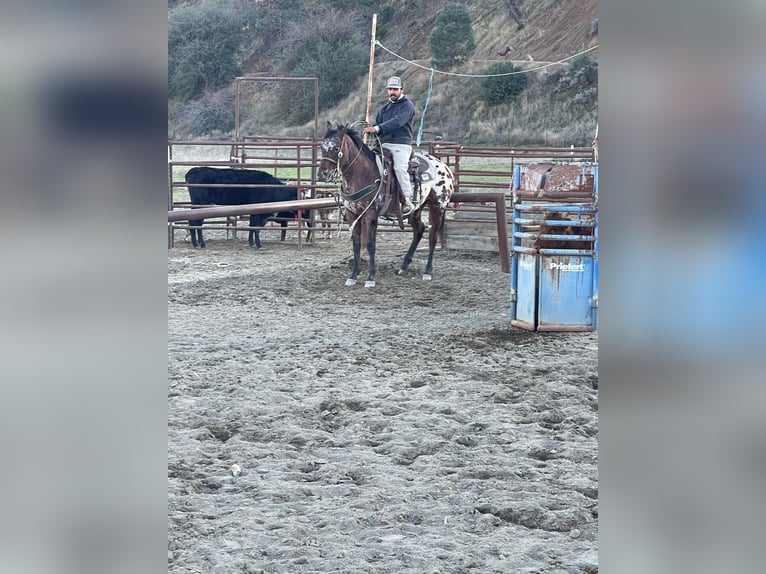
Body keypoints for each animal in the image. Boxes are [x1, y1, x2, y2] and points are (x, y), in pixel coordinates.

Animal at [320, 124, 456, 290]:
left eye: (336, 148)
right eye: (321, 147)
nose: (322, 174)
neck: (363, 173)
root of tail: (444, 167)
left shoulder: (370, 214)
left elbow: (370, 245)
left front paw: (371, 278)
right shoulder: (353, 213)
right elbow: (357, 244)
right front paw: (353, 275)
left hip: (437, 206)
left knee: (432, 237)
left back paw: (427, 271)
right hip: (416, 209)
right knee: (419, 229)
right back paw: (404, 266)